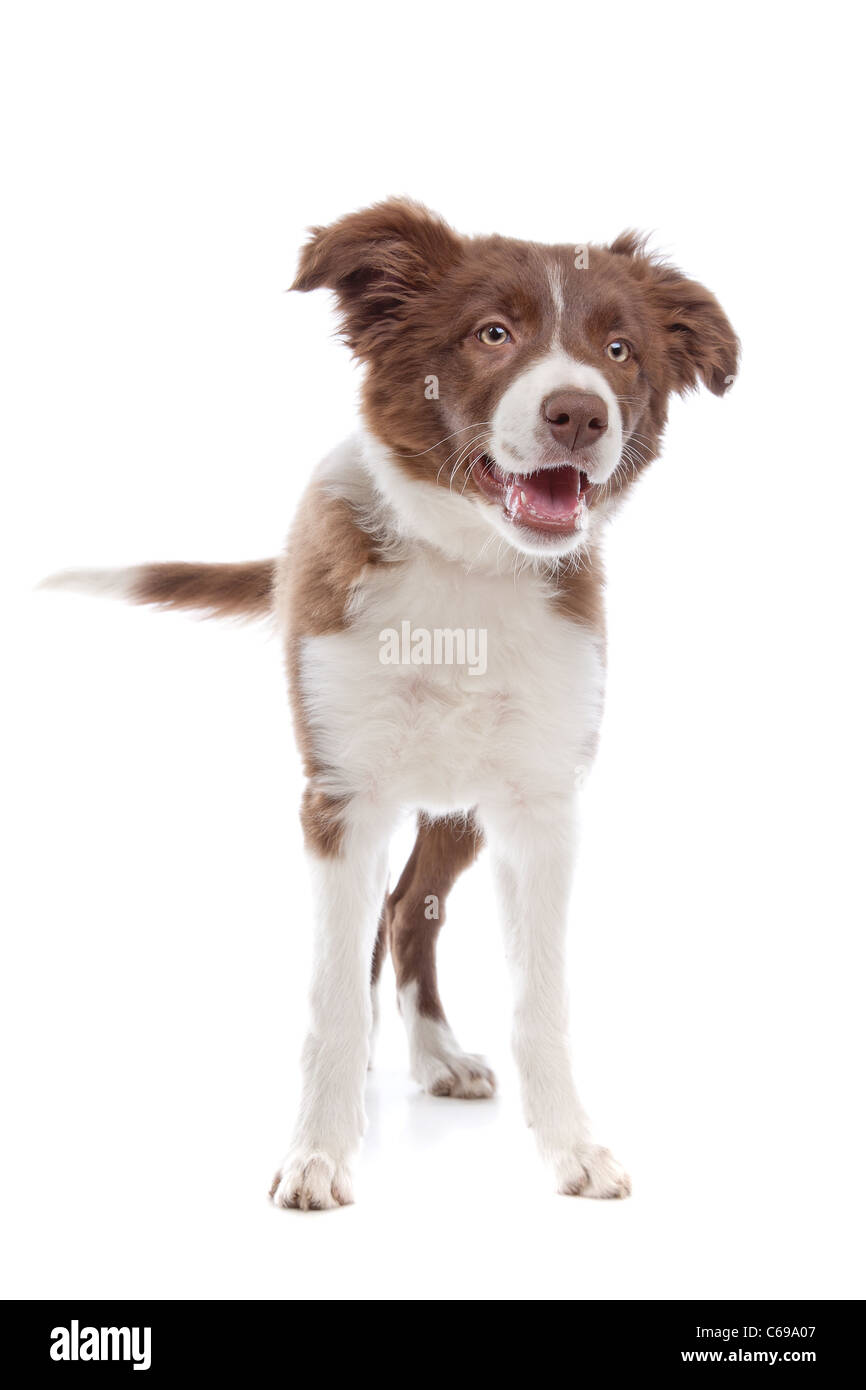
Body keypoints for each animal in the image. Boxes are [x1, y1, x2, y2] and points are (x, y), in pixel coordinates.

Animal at [45, 201, 739, 1212]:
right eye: (493, 334)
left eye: (619, 350)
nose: (579, 413)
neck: (468, 574)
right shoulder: (339, 797)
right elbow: (333, 994)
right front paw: (318, 1154)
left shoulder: (538, 804)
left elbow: (543, 999)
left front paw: (572, 1147)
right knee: (382, 920)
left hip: (459, 810)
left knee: (411, 908)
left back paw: (438, 1055)